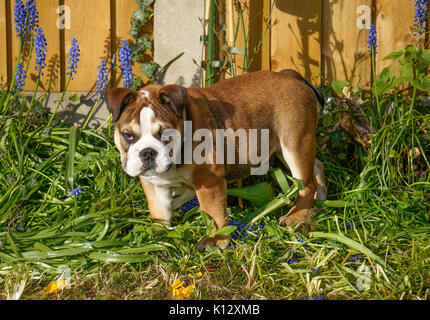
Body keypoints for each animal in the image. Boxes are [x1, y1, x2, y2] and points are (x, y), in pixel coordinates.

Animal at [106, 70, 328, 249]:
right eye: (128, 135)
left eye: (165, 134)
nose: (148, 152)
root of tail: (291, 75)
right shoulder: (153, 185)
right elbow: (159, 210)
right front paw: (158, 234)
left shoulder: (209, 180)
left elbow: (213, 212)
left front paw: (215, 240)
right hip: (286, 147)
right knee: (317, 166)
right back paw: (319, 202)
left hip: (295, 142)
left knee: (307, 183)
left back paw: (296, 217)